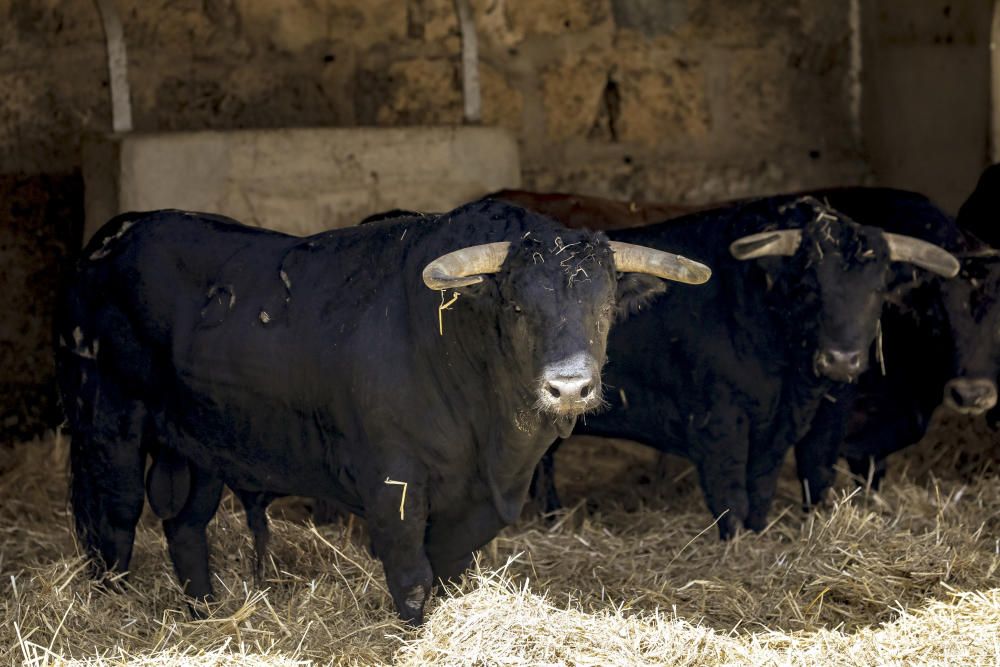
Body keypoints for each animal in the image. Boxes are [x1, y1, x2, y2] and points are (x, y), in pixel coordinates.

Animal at [56, 200, 712, 628]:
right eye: (518, 306)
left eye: (604, 307)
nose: (570, 388)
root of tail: (117, 234)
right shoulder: (394, 486)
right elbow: (414, 580)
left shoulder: (476, 504)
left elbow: (450, 575)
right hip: (107, 421)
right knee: (113, 525)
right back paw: (112, 606)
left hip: (200, 443)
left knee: (185, 526)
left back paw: (205, 612)